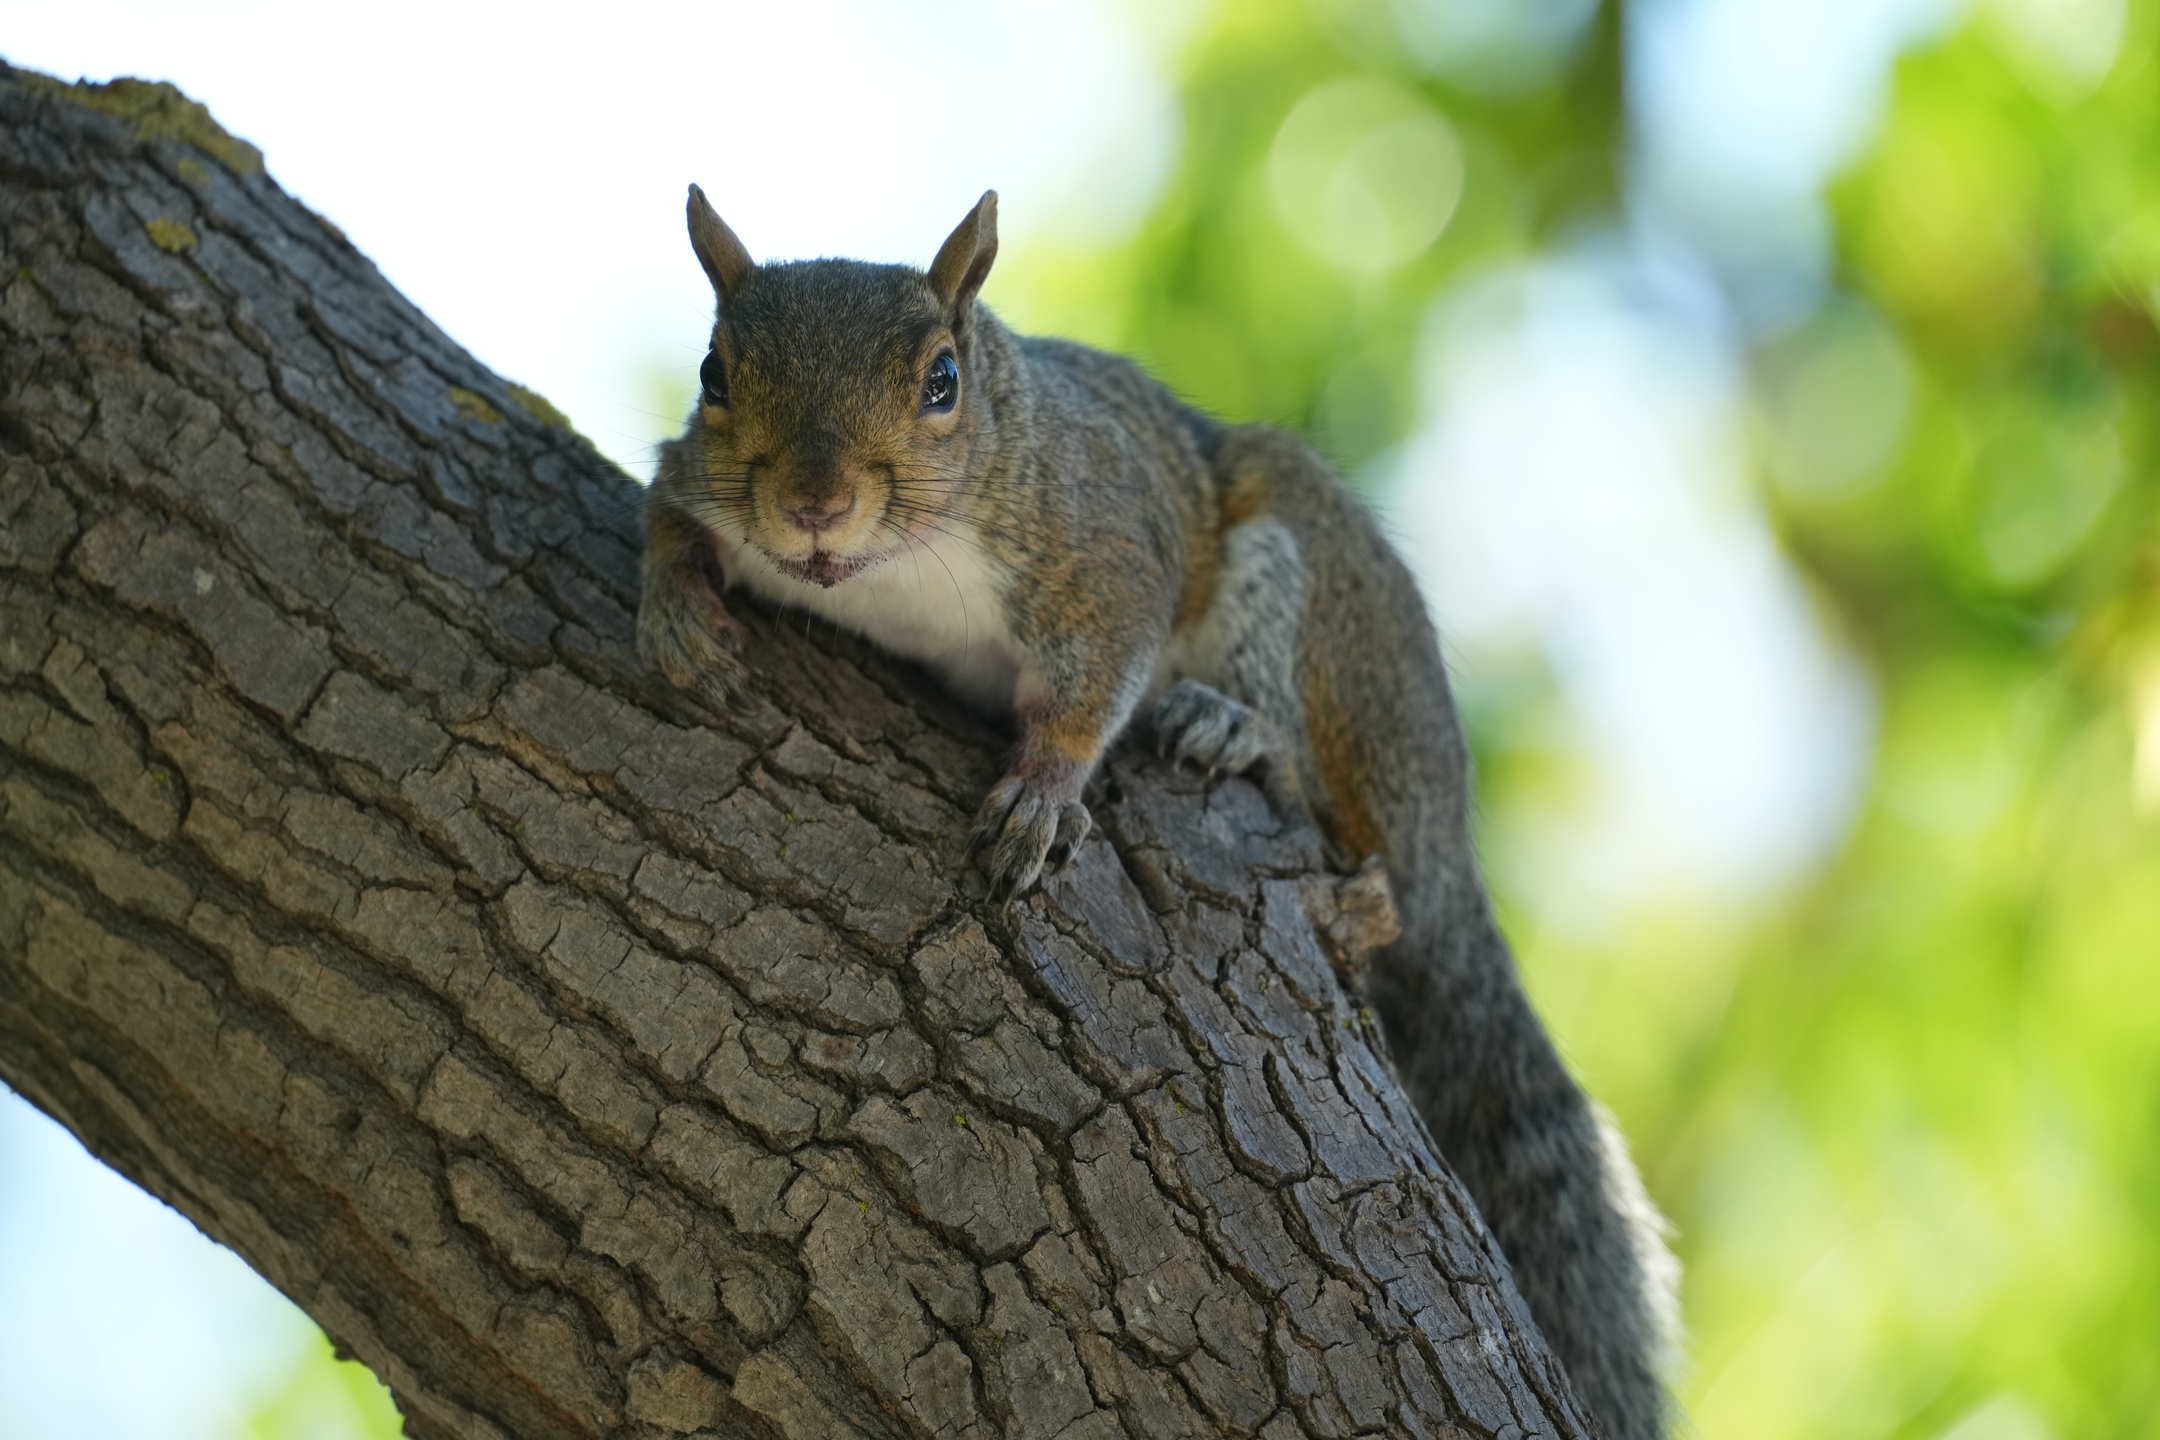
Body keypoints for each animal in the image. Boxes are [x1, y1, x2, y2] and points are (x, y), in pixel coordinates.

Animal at [638, 186, 1680, 1440]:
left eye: (942, 380)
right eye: (713, 372)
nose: (811, 504)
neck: (890, 568)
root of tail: (1443, 824)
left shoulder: (1102, 553)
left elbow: (1096, 681)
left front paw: (1045, 791)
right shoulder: (694, 473)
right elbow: (665, 511)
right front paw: (672, 608)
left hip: (1311, 610)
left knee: (1336, 813)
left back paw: (1236, 732)